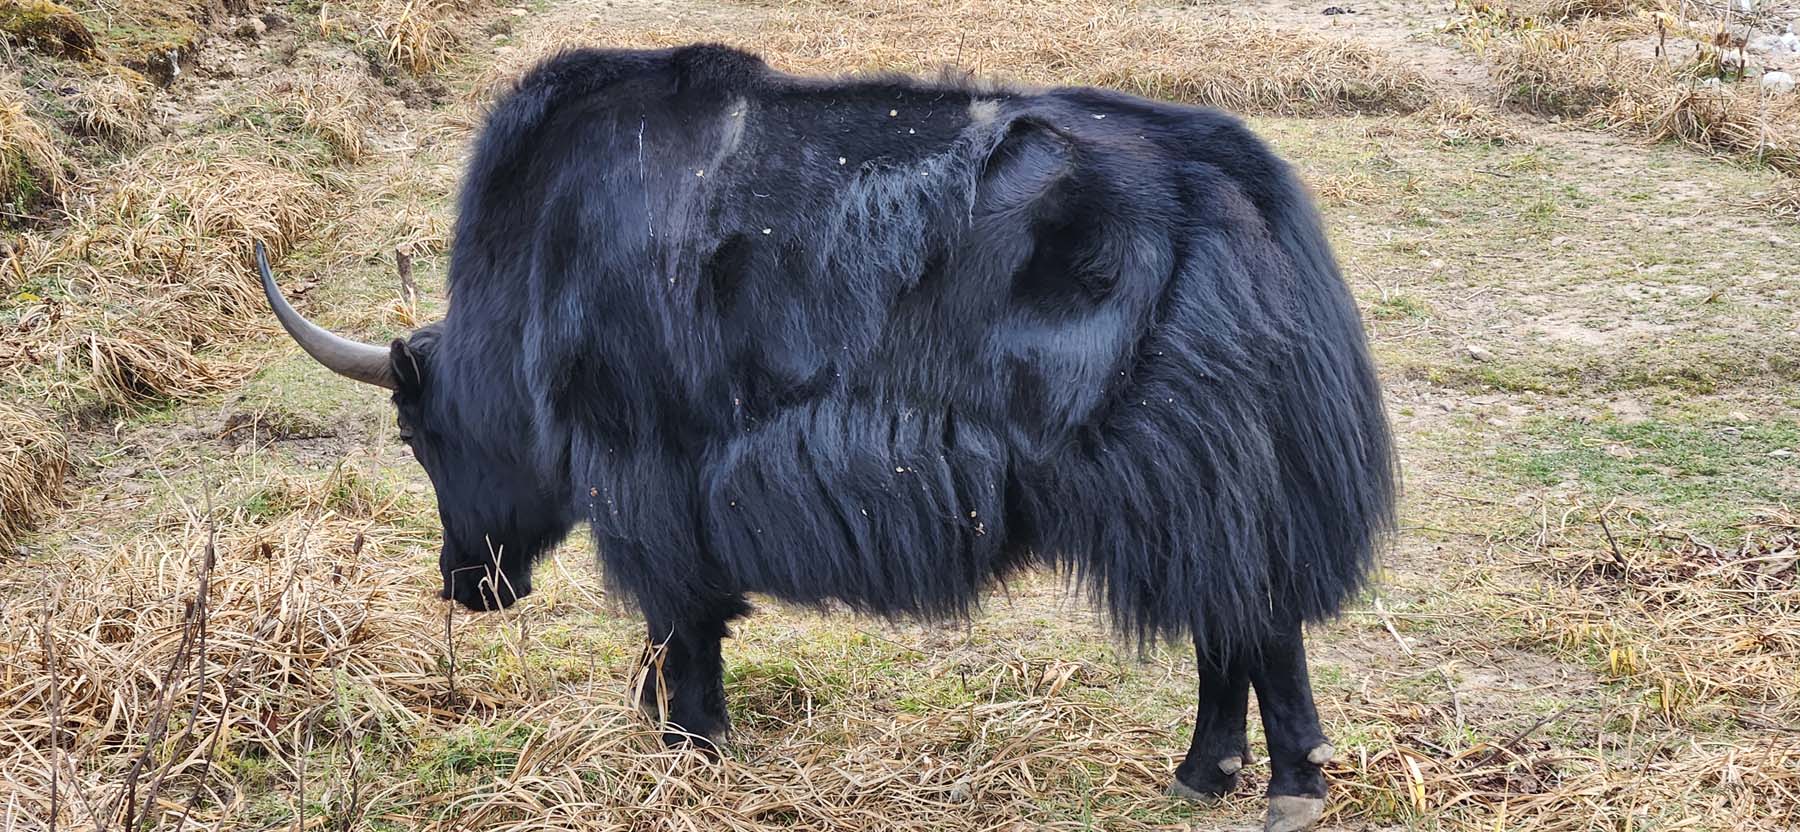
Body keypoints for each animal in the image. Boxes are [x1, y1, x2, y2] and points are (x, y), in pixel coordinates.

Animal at [257, 43, 1397, 832]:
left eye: (419, 434)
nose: (467, 586)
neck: (536, 280)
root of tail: (1249, 184)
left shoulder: (649, 470)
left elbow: (679, 614)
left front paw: (689, 744)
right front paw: (675, 734)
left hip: (1187, 467)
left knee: (1252, 616)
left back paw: (1282, 784)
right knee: (1229, 618)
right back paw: (1206, 774)